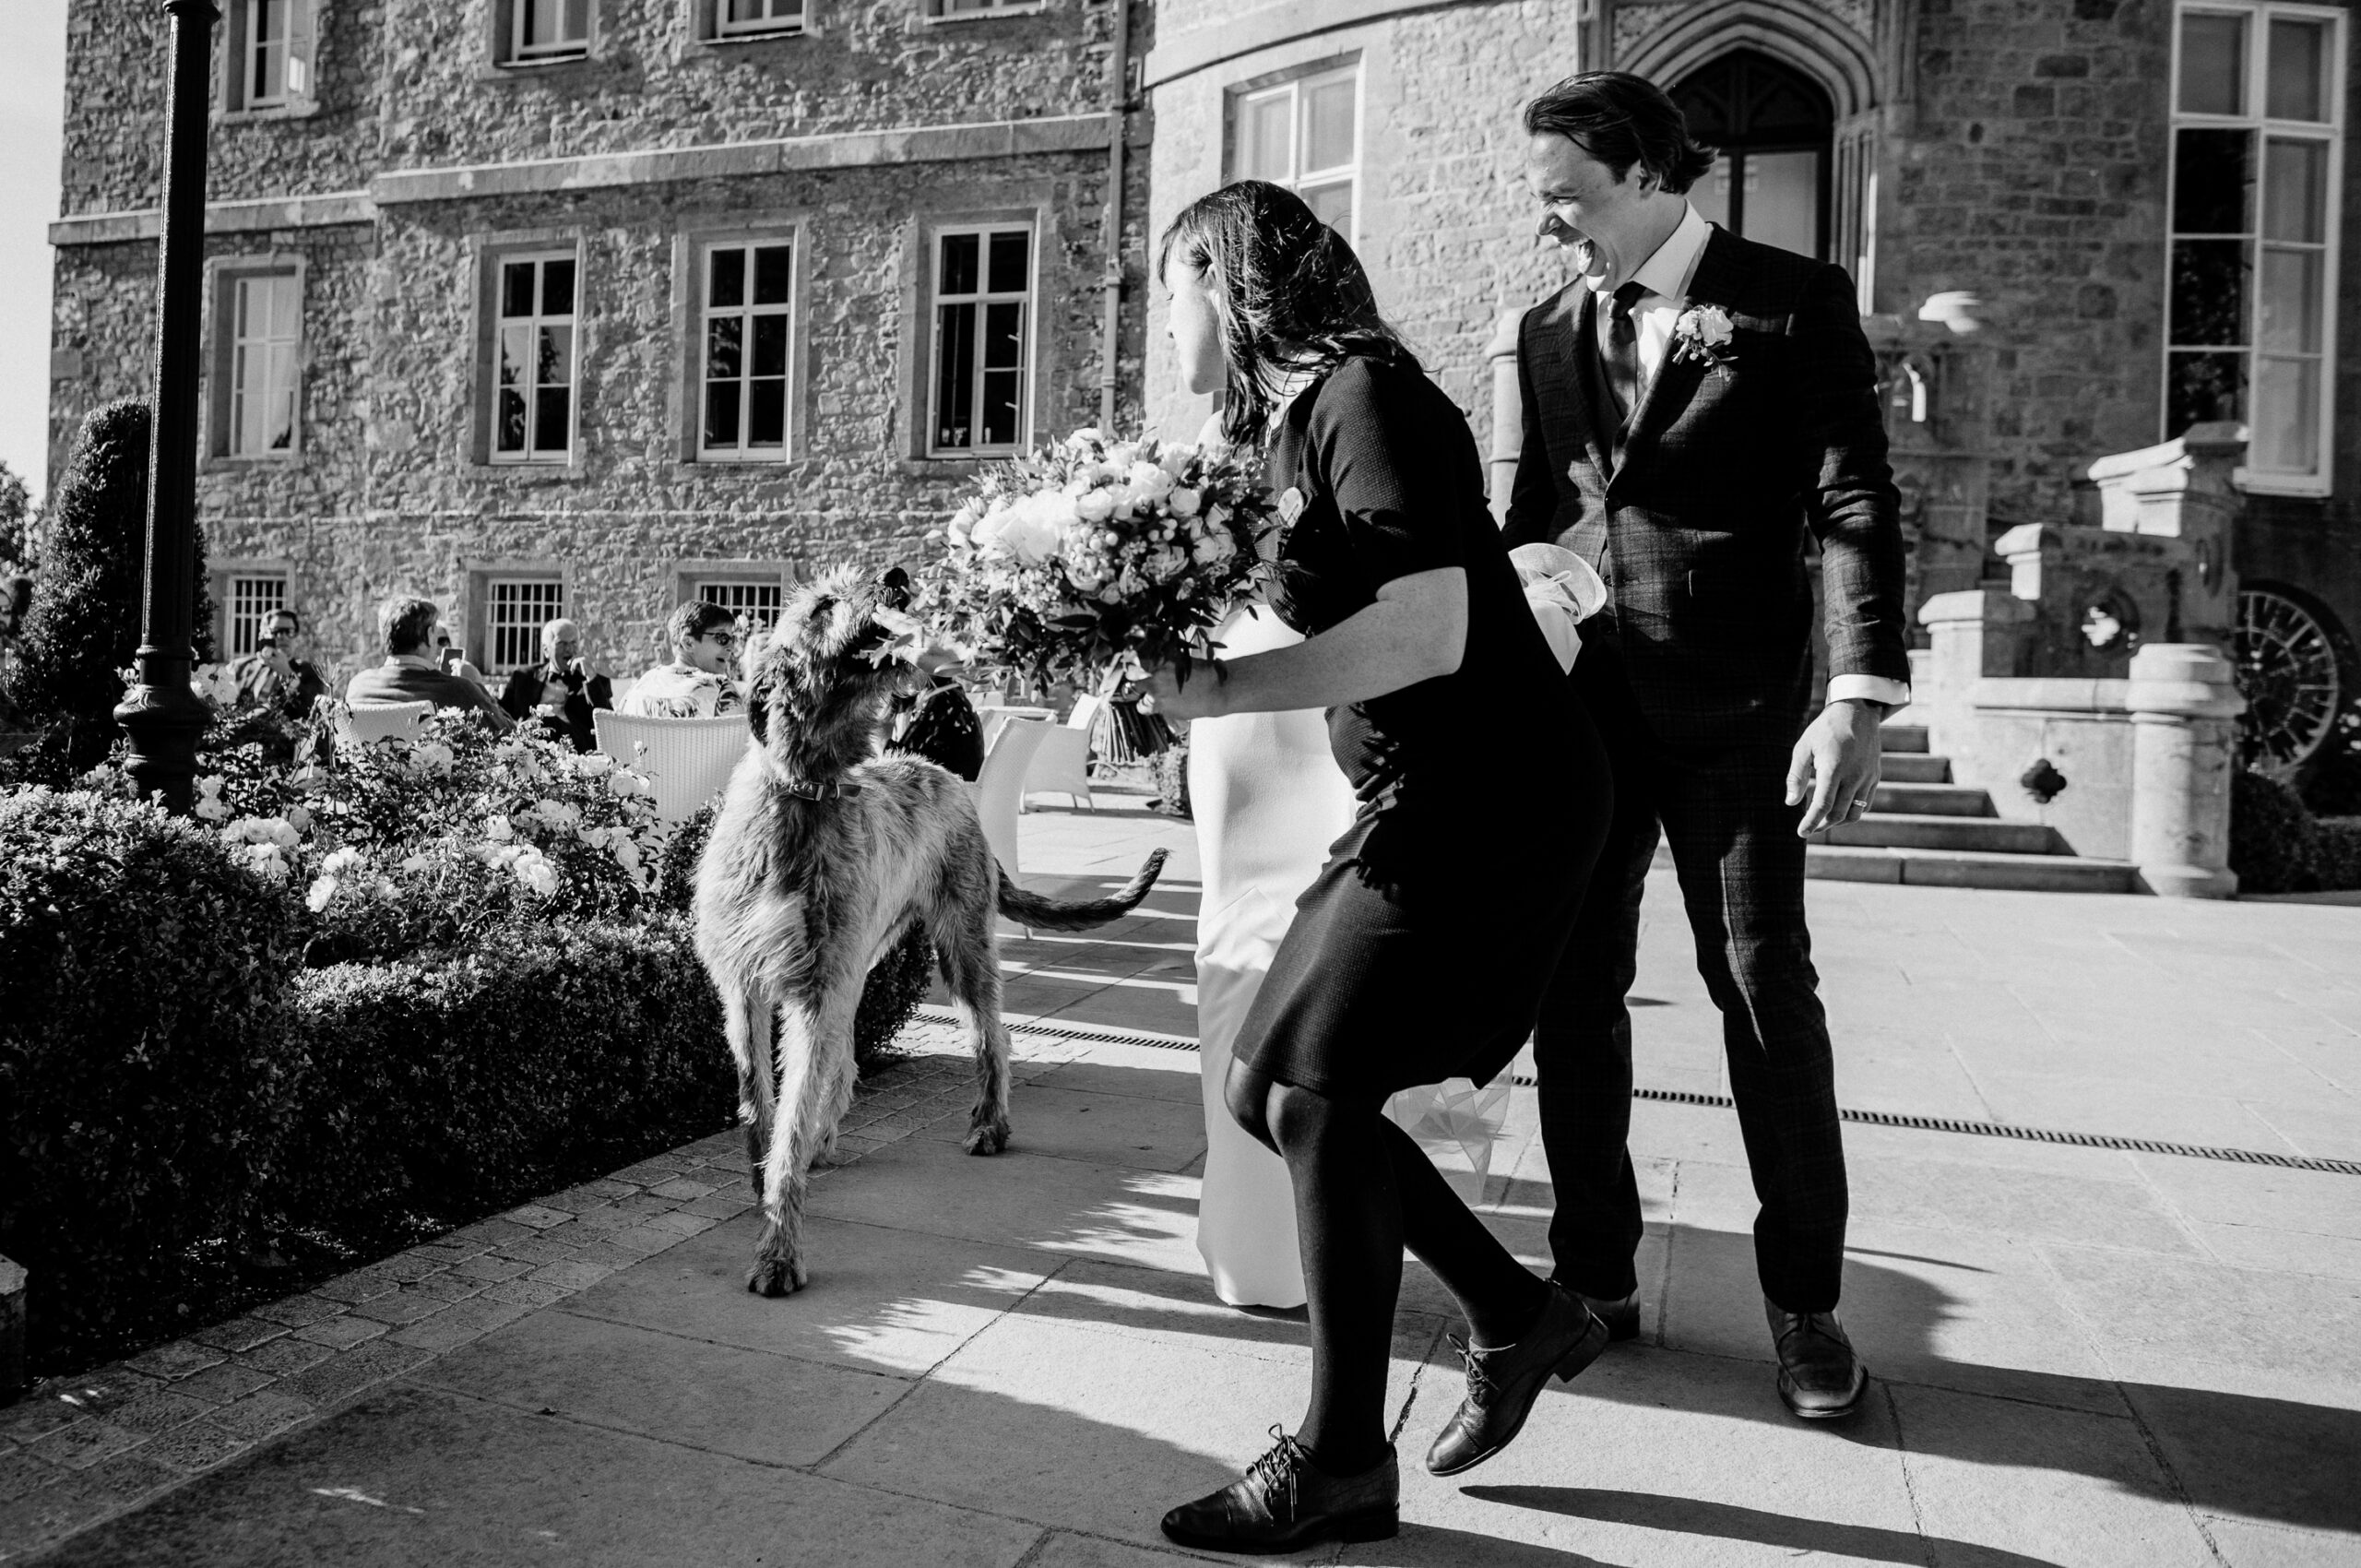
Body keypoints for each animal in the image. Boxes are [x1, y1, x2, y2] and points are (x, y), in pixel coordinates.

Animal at [689, 569, 1166, 1294]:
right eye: (824, 604)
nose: (896, 579)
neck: (804, 790)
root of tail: (950, 781)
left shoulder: (816, 990)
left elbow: (792, 1114)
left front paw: (779, 1247)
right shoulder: (744, 984)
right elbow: (756, 1101)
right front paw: (762, 1175)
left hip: (961, 944)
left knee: (992, 1034)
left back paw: (990, 1125)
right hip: (868, 958)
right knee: (851, 1056)